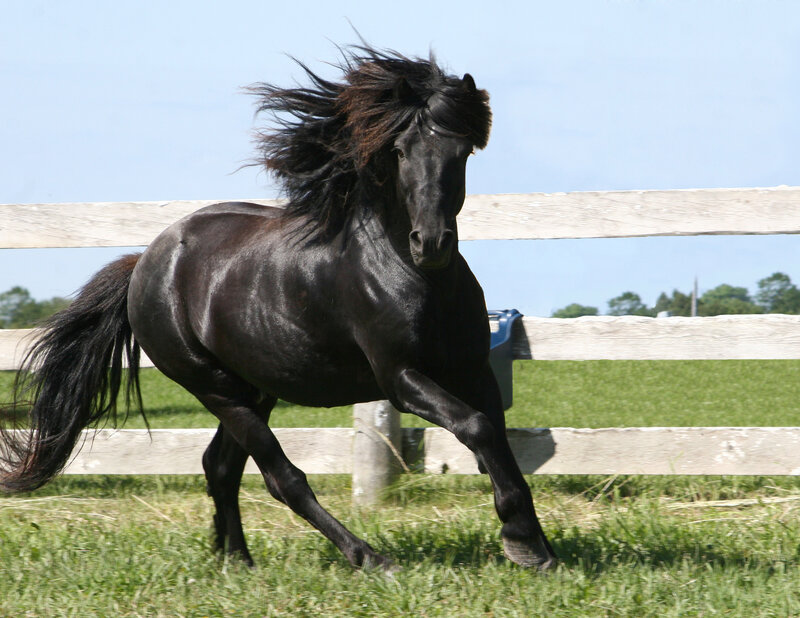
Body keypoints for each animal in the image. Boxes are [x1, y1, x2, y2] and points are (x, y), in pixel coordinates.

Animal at [0, 45, 557, 572]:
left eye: (460, 151)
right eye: (400, 151)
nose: (432, 243)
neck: (414, 276)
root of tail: (145, 264)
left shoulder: (472, 368)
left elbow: (497, 437)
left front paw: (535, 543)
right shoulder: (401, 378)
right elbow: (477, 428)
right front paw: (522, 541)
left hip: (253, 386)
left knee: (219, 467)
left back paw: (237, 562)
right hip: (215, 388)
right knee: (280, 476)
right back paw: (368, 558)